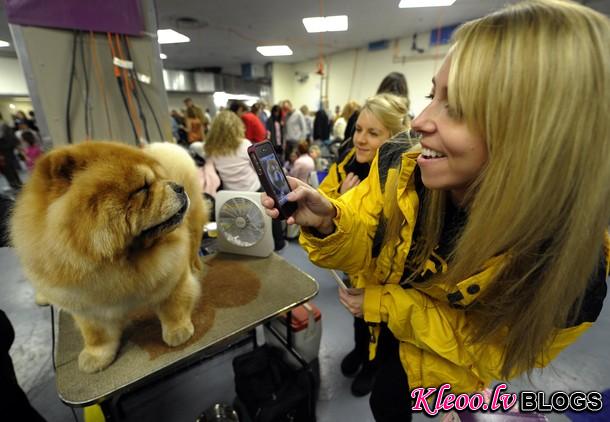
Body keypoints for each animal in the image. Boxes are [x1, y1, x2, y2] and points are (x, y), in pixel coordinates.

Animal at [9, 141, 207, 372]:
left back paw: (195, 265)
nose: (178, 186)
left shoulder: (171, 276)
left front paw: (178, 331)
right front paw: (95, 357)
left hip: (194, 221)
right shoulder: (86, 306)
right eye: (142, 188)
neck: (119, 261)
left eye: (160, 179)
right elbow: (97, 335)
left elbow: (173, 305)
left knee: (194, 243)